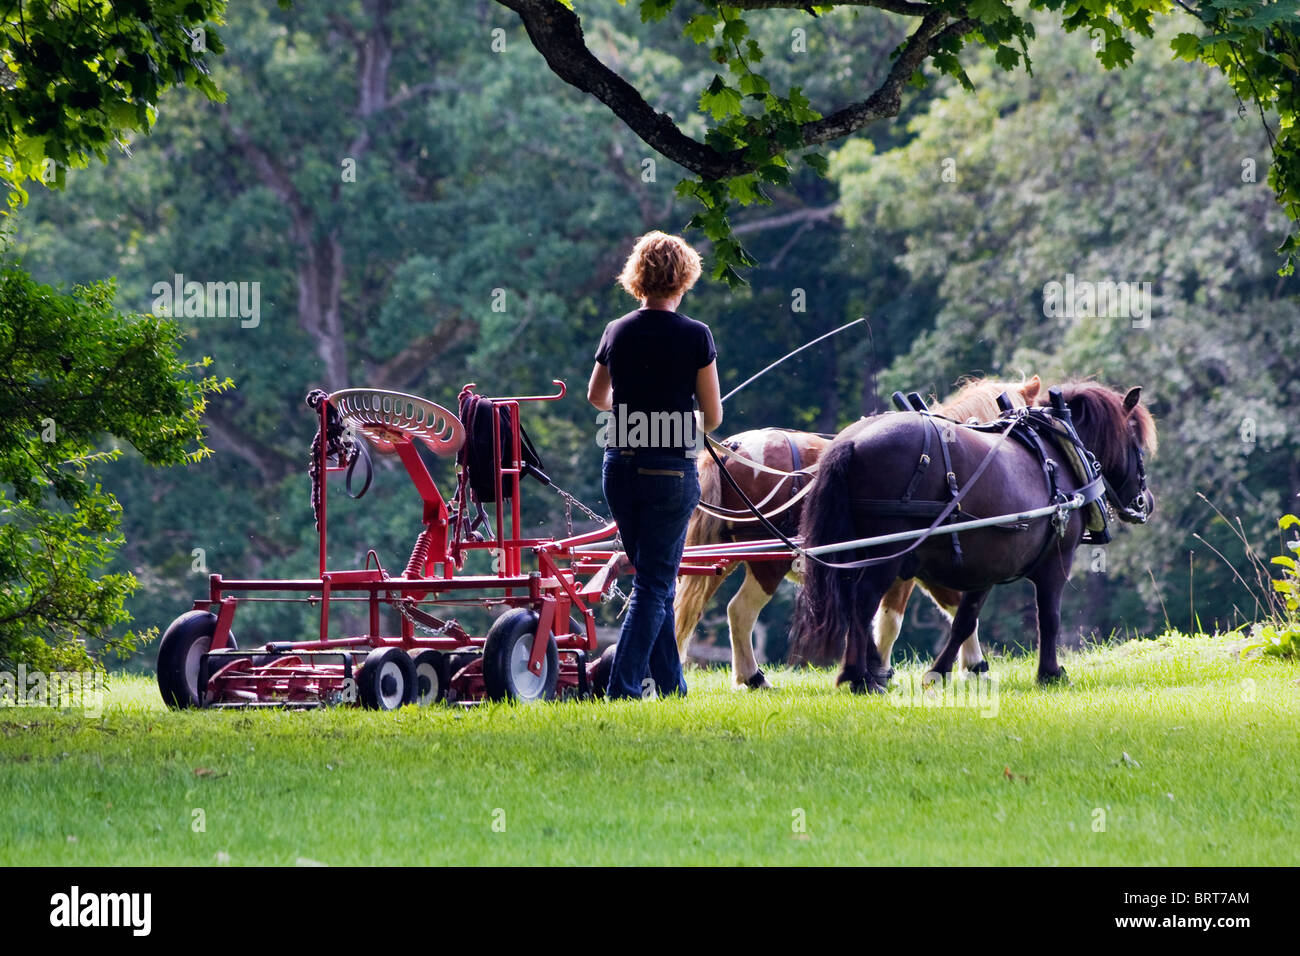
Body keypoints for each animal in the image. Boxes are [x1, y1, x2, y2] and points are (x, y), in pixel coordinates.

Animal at [676, 374, 1040, 686]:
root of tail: (734, 447)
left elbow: (951, 608)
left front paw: (971, 665)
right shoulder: (906, 567)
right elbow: (895, 621)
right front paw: (881, 670)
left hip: (723, 554)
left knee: (685, 609)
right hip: (768, 561)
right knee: (739, 611)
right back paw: (753, 677)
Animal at [790, 379, 1159, 686]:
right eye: (1136, 444)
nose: (1146, 501)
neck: (1058, 451)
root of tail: (852, 441)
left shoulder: (986, 566)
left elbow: (964, 619)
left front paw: (940, 672)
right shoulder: (1056, 560)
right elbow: (1050, 616)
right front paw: (1050, 673)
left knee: (852, 601)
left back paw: (860, 673)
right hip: (886, 556)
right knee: (863, 600)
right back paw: (861, 678)